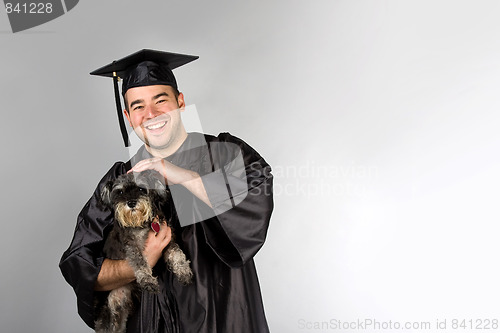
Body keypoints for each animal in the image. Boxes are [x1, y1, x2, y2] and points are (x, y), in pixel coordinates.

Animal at [94, 170, 192, 330]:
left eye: (141, 189)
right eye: (120, 192)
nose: (131, 203)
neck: (141, 224)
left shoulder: (168, 242)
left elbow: (177, 253)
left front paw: (183, 271)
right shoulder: (131, 247)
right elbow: (140, 262)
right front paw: (148, 281)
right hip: (109, 312)